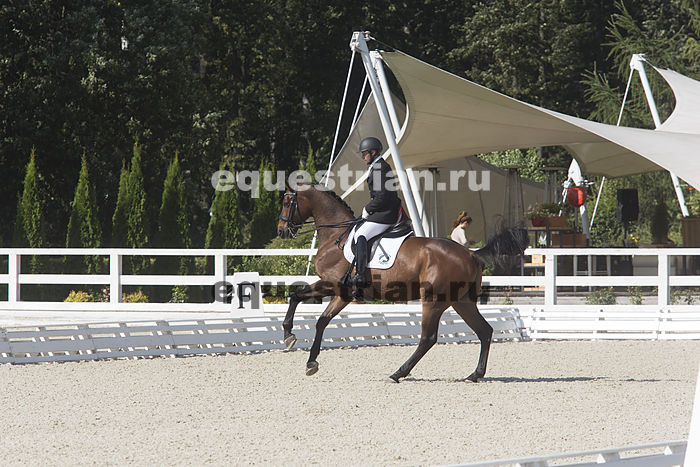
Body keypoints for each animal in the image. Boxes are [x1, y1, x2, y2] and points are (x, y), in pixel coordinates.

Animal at [277, 183, 528, 382]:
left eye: (288, 202)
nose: (281, 231)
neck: (336, 236)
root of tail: (471, 254)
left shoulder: (332, 284)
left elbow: (297, 298)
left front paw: (289, 336)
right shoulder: (343, 293)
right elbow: (320, 319)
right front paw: (309, 360)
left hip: (434, 300)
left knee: (428, 338)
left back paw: (398, 373)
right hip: (462, 301)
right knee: (484, 331)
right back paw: (475, 374)